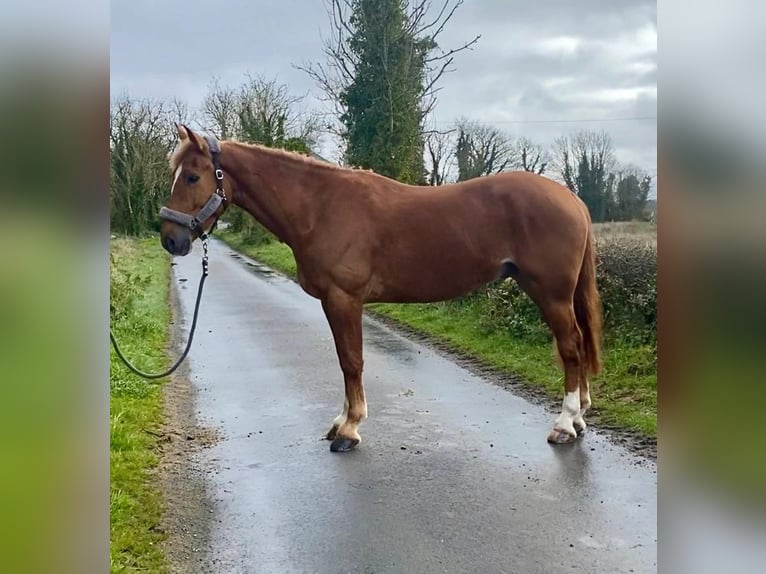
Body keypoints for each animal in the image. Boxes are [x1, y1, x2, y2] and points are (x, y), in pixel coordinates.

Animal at [162, 126, 604, 454]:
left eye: (193, 176)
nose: (170, 239)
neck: (320, 207)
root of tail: (573, 200)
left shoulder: (344, 299)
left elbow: (351, 361)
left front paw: (349, 430)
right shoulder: (337, 302)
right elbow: (345, 360)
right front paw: (342, 422)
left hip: (551, 293)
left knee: (571, 347)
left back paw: (565, 425)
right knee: (578, 345)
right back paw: (579, 417)